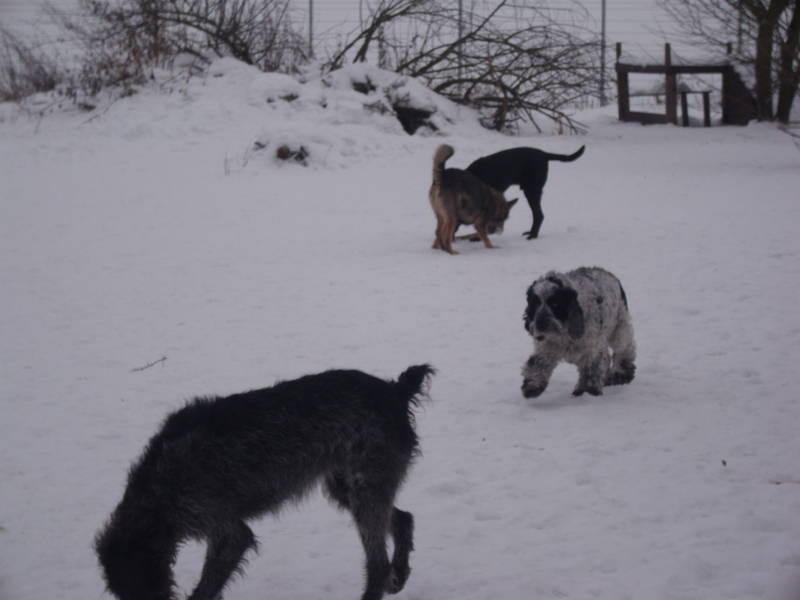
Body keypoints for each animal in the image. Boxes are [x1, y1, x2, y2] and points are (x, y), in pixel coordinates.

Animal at [95, 364, 435, 600]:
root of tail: (395, 391)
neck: (156, 491)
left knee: (377, 564)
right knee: (403, 519)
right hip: (348, 488)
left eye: (144, 586)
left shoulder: (227, 532)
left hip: (365, 489)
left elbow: (207, 585)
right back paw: (400, 574)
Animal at [521, 267, 635, 398]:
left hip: (619, 326)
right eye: (535, 304)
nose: (540, 324)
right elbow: (538, 363)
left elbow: (590, 370)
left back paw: (620, 375)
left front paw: (586, 391)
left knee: (625, 349)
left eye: (555, 304)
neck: (564, 331)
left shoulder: (591, 348)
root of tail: (607, 272)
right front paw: (532, 386)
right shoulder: (547, 347)